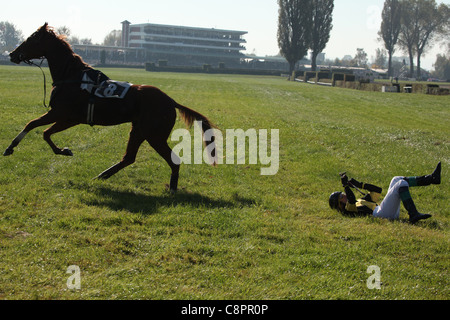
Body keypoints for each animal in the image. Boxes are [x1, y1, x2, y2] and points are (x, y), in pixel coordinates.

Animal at [4, 23, 217, 192]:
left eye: (31, 39)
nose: (12, 54)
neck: (72, 76)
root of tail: (170, 101)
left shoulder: (61, 114)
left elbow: (34, 126)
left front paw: (10, 148)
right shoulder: (70, 118)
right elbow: (44, 132)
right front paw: (63, 150)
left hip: (154, 135)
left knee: (172, 160)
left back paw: (172, 188)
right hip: (138, 130)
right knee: (128, 158)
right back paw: (101, 176)